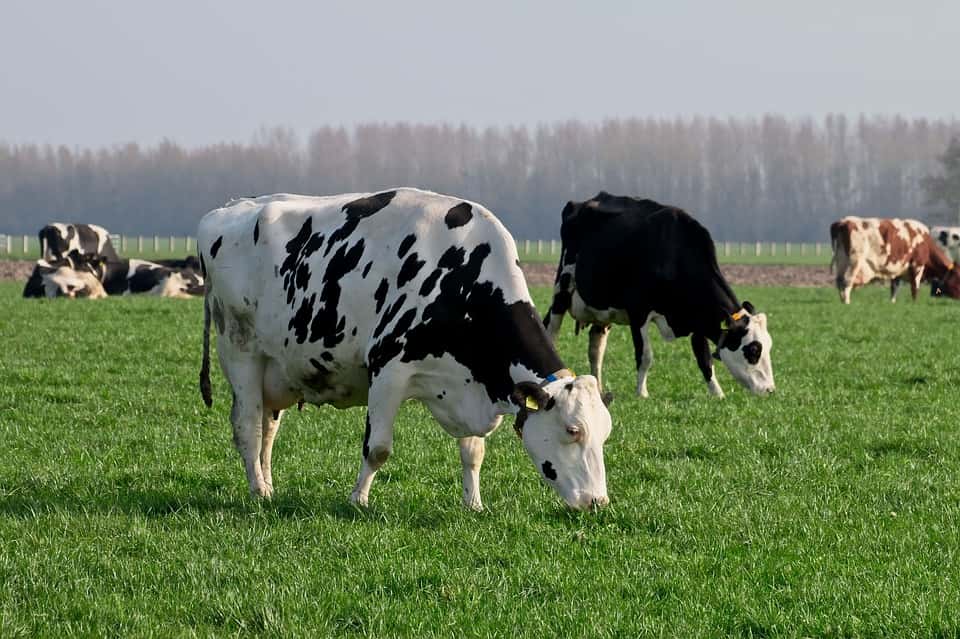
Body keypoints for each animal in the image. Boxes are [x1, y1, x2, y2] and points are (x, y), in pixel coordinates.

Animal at [198, 188, 612, 511]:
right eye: (573, 430)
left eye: (605, 433)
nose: (598, 501)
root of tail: (225, 211)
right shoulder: (388, 369)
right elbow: (378, 448)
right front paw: (358, 500)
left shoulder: (471, 378)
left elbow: (473, 452)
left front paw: (474, 503)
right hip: (241, 352)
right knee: (248, 426)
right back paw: (258, 490)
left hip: (278, 369)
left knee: (268, 428)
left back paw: (268, 486)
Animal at [543, 192, 775, 399]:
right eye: (753, 350)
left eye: (768, 347)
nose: (770, 390)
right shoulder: (638, 312)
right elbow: (645, 356)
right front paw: (642, 393)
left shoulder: (698, 317)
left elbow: (704, 358)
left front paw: (717, 393)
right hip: (562, 287)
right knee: (550, 330)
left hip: (602, 309)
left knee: (596, 347)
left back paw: (598, 388)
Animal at [829, 217, 960, 303]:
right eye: (958, 278)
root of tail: (843, 221)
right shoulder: (917, 265)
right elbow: (915, 287)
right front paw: (914, 303)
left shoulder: (898, 269)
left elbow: (894, 287)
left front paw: (892, 302)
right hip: (855, 261)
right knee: (847, 281)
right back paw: (847, 302)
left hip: (841, 260)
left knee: (839, 281)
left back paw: (842, 300)